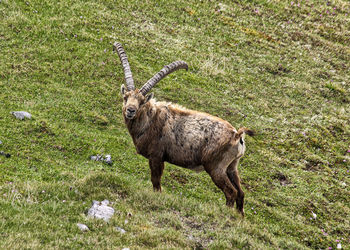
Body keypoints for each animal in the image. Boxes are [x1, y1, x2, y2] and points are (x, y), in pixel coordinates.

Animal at [115, 42, 254, 215]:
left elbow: (156, 182)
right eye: (125, 97)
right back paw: (239, 216)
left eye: (141, 101)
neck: (150, 121)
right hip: (232, 166)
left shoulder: (156, 156)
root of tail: (237, 135)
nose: (130, 110)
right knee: (241, 193)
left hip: (216, 167)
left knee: (231, 192)